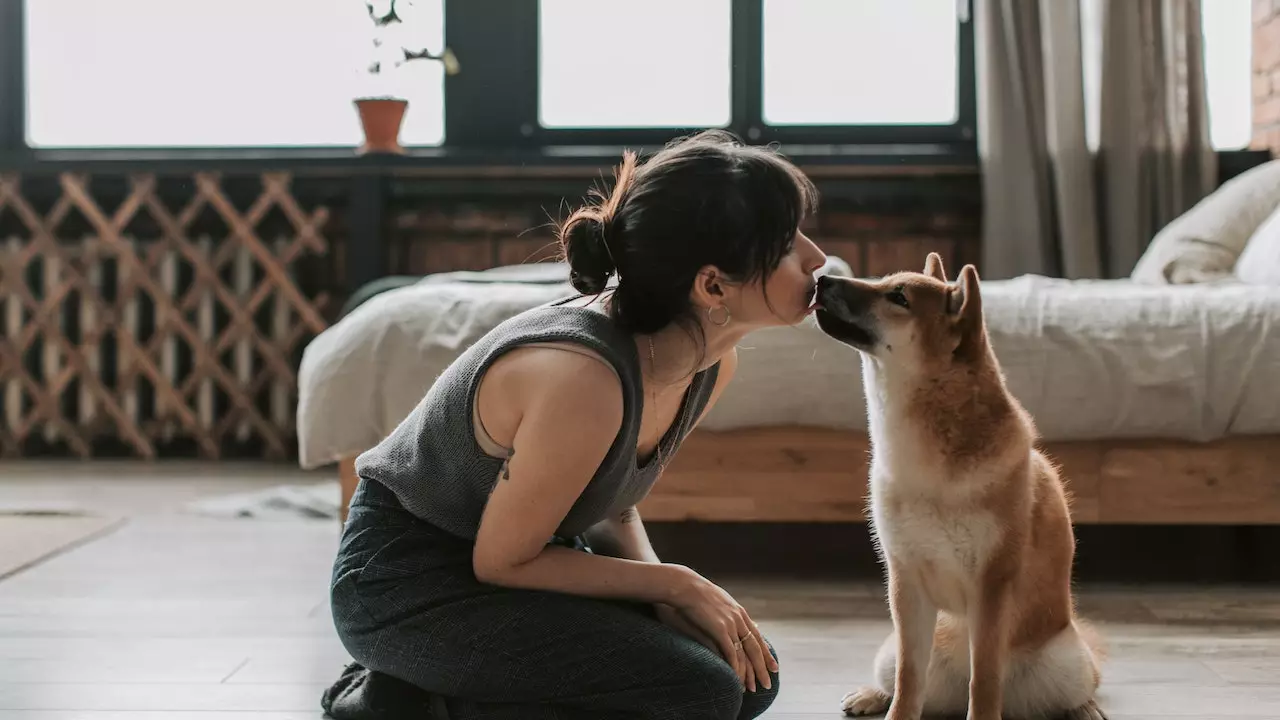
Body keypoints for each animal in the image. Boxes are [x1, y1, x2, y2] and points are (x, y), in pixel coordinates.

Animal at [819, 253, 1111, 717]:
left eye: (898, 297)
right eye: (883, 281)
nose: (821, 279)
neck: (928, 465)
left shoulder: (991, 587)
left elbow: (985, 678)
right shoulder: (906, 583)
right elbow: (909, 680)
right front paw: (895, 710)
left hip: (1065, 661)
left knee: (1078, 689)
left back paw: (1085, 710)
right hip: (894, 649)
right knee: (900, 678)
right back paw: (871, 695)